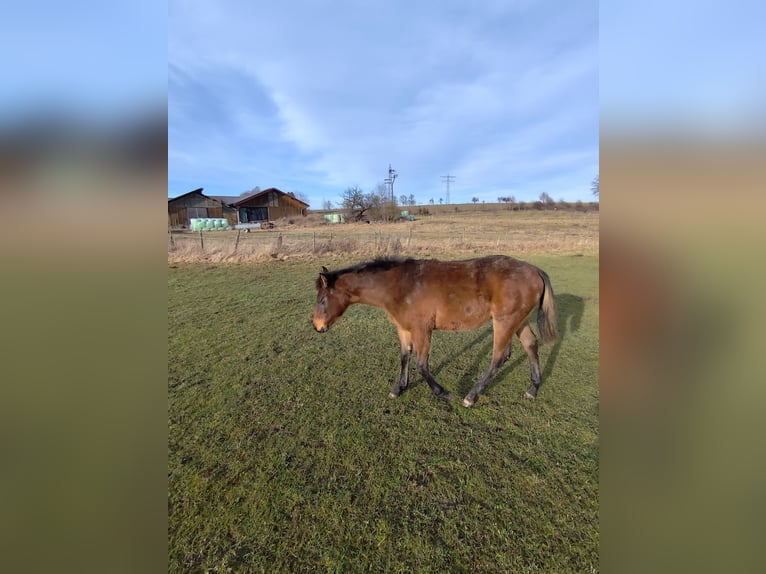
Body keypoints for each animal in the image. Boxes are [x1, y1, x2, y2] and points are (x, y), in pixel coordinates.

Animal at [313, 255, 558, 407]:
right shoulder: (404, 328)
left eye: (322, 300)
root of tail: (535, 271)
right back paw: (533, 388)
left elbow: (422, 364)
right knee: (530, 344)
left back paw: (471, 396)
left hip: (505, 321)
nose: (317, 327)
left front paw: (444, 393)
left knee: (499, 356)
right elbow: (404, 357)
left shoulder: (422, 329)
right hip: (518, 321)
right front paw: (399, 388)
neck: (399, 286)